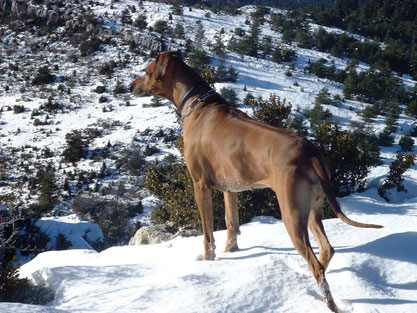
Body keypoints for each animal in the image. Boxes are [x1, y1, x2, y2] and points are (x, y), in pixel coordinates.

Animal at [130, 50, 380, 310]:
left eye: (147, 71)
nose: (130, 86)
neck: (197, 103)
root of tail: (310, 151)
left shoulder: (200, 186)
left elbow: (208, 235)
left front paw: (208, 263)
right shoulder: (230, 189)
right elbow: (231, 224)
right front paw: (232, 253)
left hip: (291, 213)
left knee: (316, 264)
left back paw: (328, 303)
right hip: (312, 208)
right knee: (327, 250)